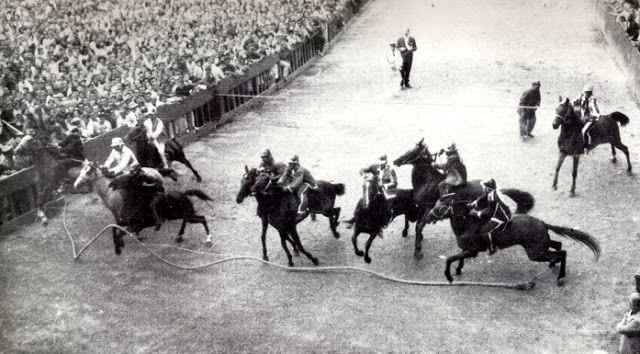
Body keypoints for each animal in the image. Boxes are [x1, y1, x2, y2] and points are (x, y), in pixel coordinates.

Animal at [72, 160, 212, 254]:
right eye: (81, 170)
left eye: (88, 171)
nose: (76, 185)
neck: (108, 192)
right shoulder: (120, 217)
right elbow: (115, 228)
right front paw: (119, 245)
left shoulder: (124, 218)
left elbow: (119, 230)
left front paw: (125, 243)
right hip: (181, 214)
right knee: (187, 220)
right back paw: (179, 237)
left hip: (184, 213)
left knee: (201, 219)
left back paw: (208, 240)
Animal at [424, 184, 600, 286]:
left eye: (440, 207)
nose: (427, 217)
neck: (468, 224)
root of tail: (542, 223)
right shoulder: (467, 250)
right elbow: (458, 258)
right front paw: (458, 270)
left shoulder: (472, 251)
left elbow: (450, 258)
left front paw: (449, 276)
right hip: (541, 246)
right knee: (558, 246)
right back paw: (553, 265)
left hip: (535, 253)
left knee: (562, 252)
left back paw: (560, 277)